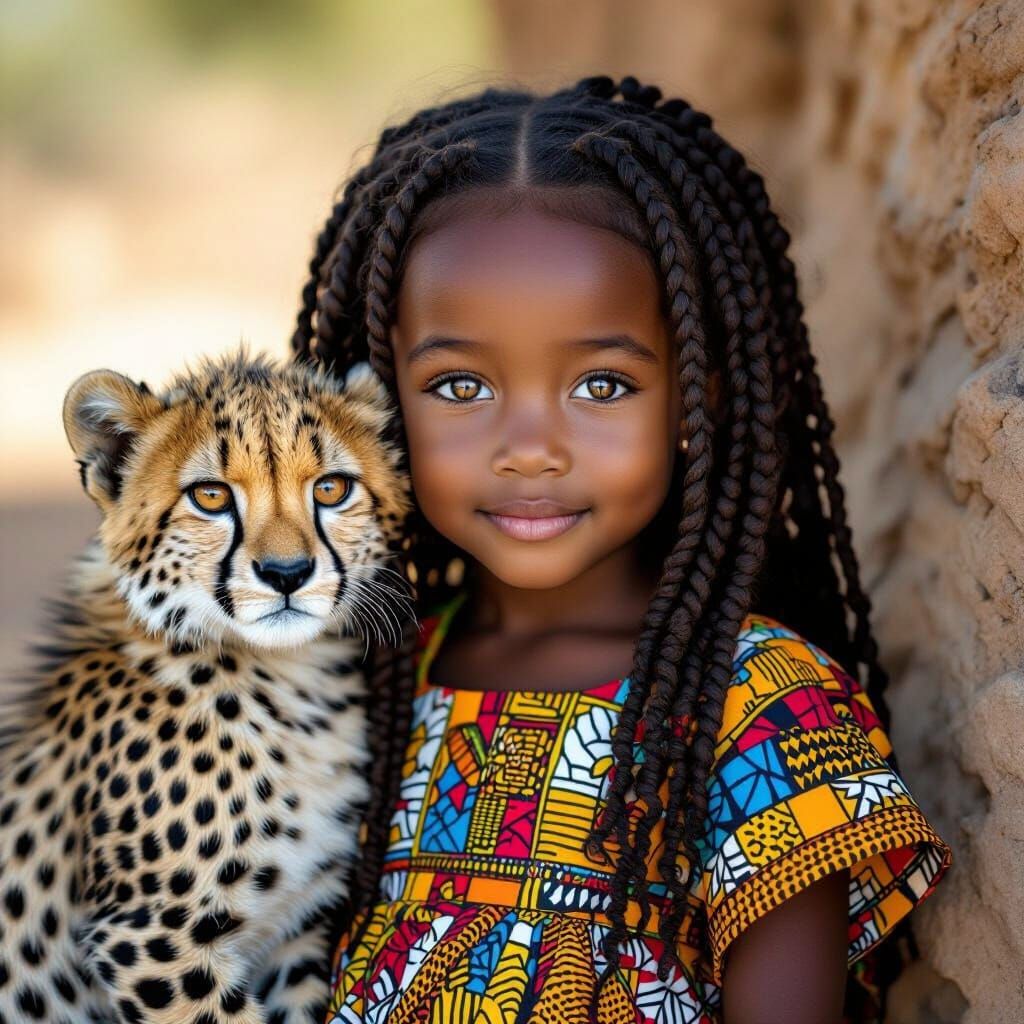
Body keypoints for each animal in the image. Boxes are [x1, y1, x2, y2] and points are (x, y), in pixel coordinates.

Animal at [0, 350, 414, 1024]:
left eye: (331, 488)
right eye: (212, 496)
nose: (286, 573)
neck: (286, 681)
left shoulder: (291, 934)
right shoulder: (149, 937)